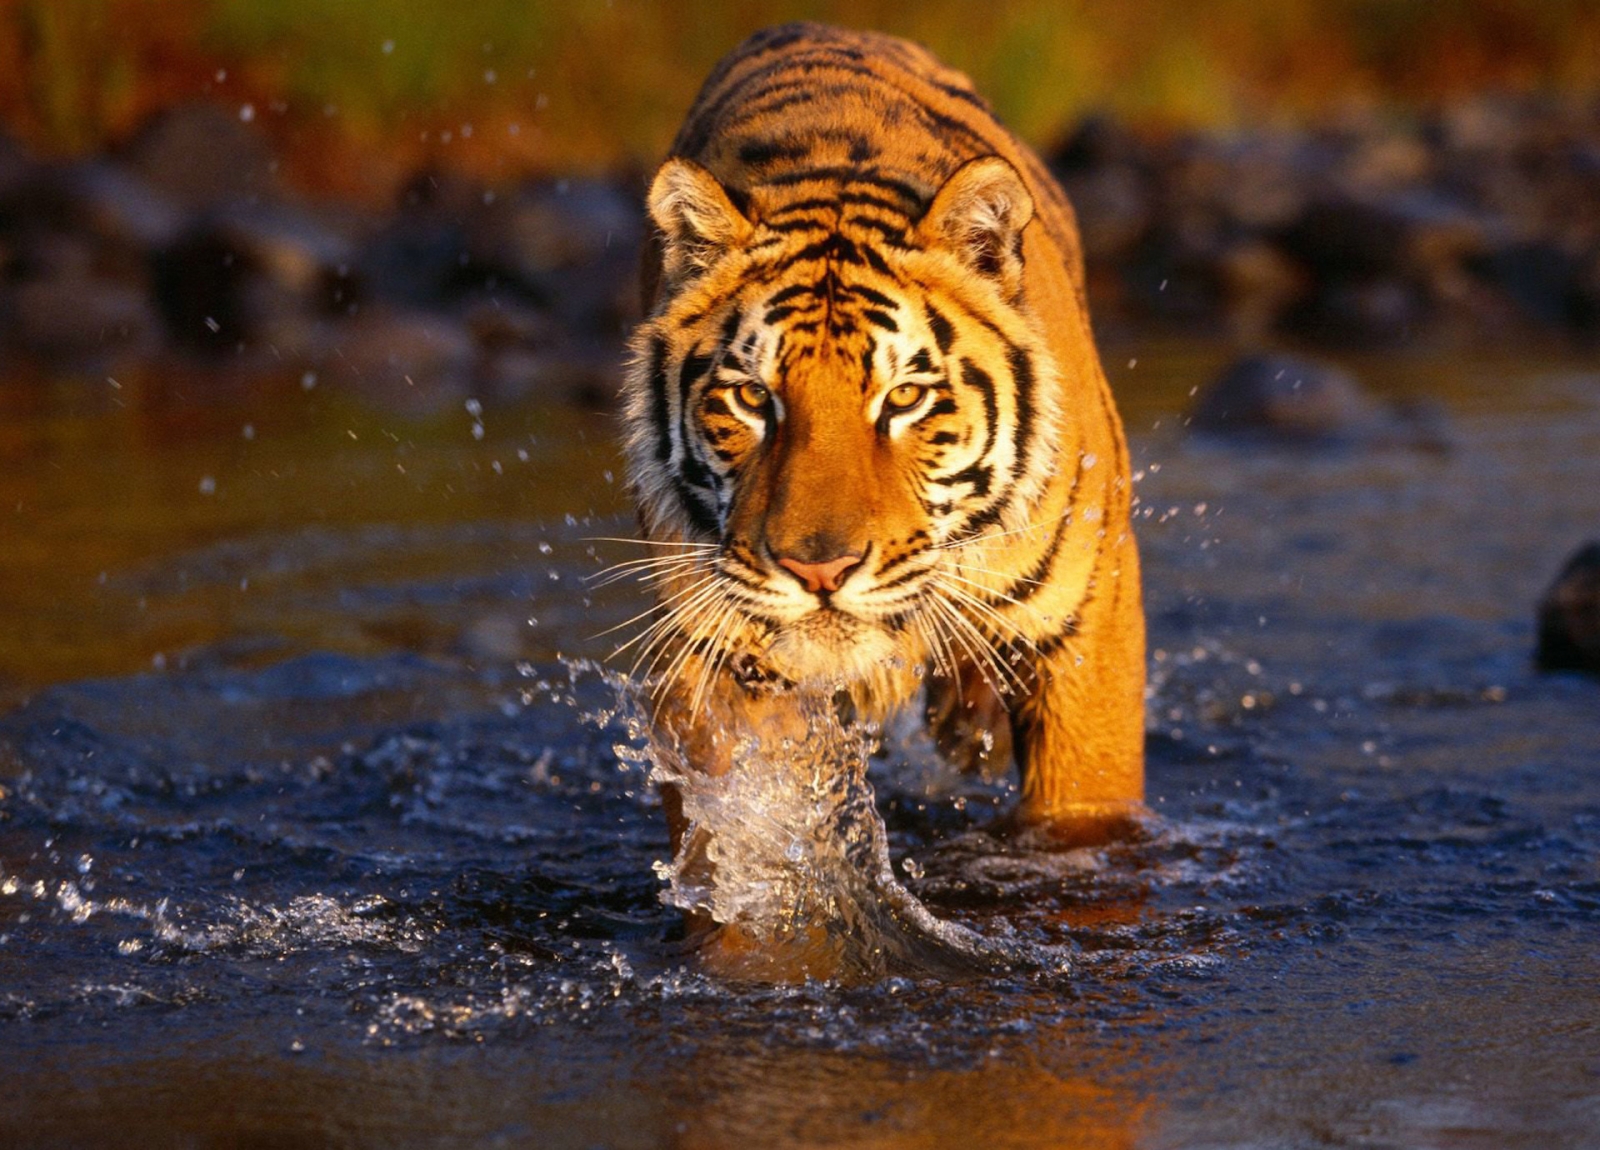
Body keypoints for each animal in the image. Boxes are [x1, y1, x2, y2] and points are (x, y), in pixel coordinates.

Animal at [617, 24, 1145, 889]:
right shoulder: (710, 654)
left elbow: (1082, 815)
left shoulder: (1087, 626)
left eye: (903, 400)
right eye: (753, 398)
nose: (819, 571)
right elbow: (733, 840)